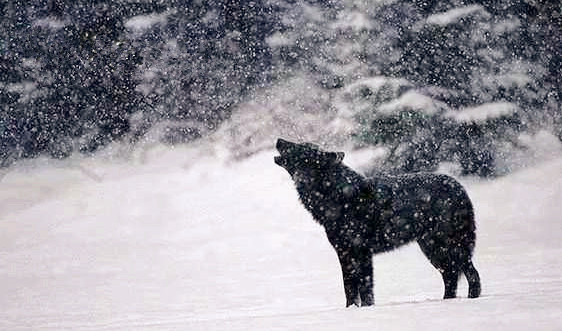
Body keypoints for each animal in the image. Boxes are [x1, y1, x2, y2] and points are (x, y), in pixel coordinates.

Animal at [274, 139, 480, 308]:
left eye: (300, 147)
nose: (279, 140)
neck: (336, 197)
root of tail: (460, 188)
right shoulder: (344, 252)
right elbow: (349, 287)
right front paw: (351, 309)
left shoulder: (362, 251)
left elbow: (365, 287)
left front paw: (367, 309)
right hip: (432, 249)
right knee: (451, 276)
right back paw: (447, 301)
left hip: (448, 247)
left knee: (471, 274)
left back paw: (472, 300)